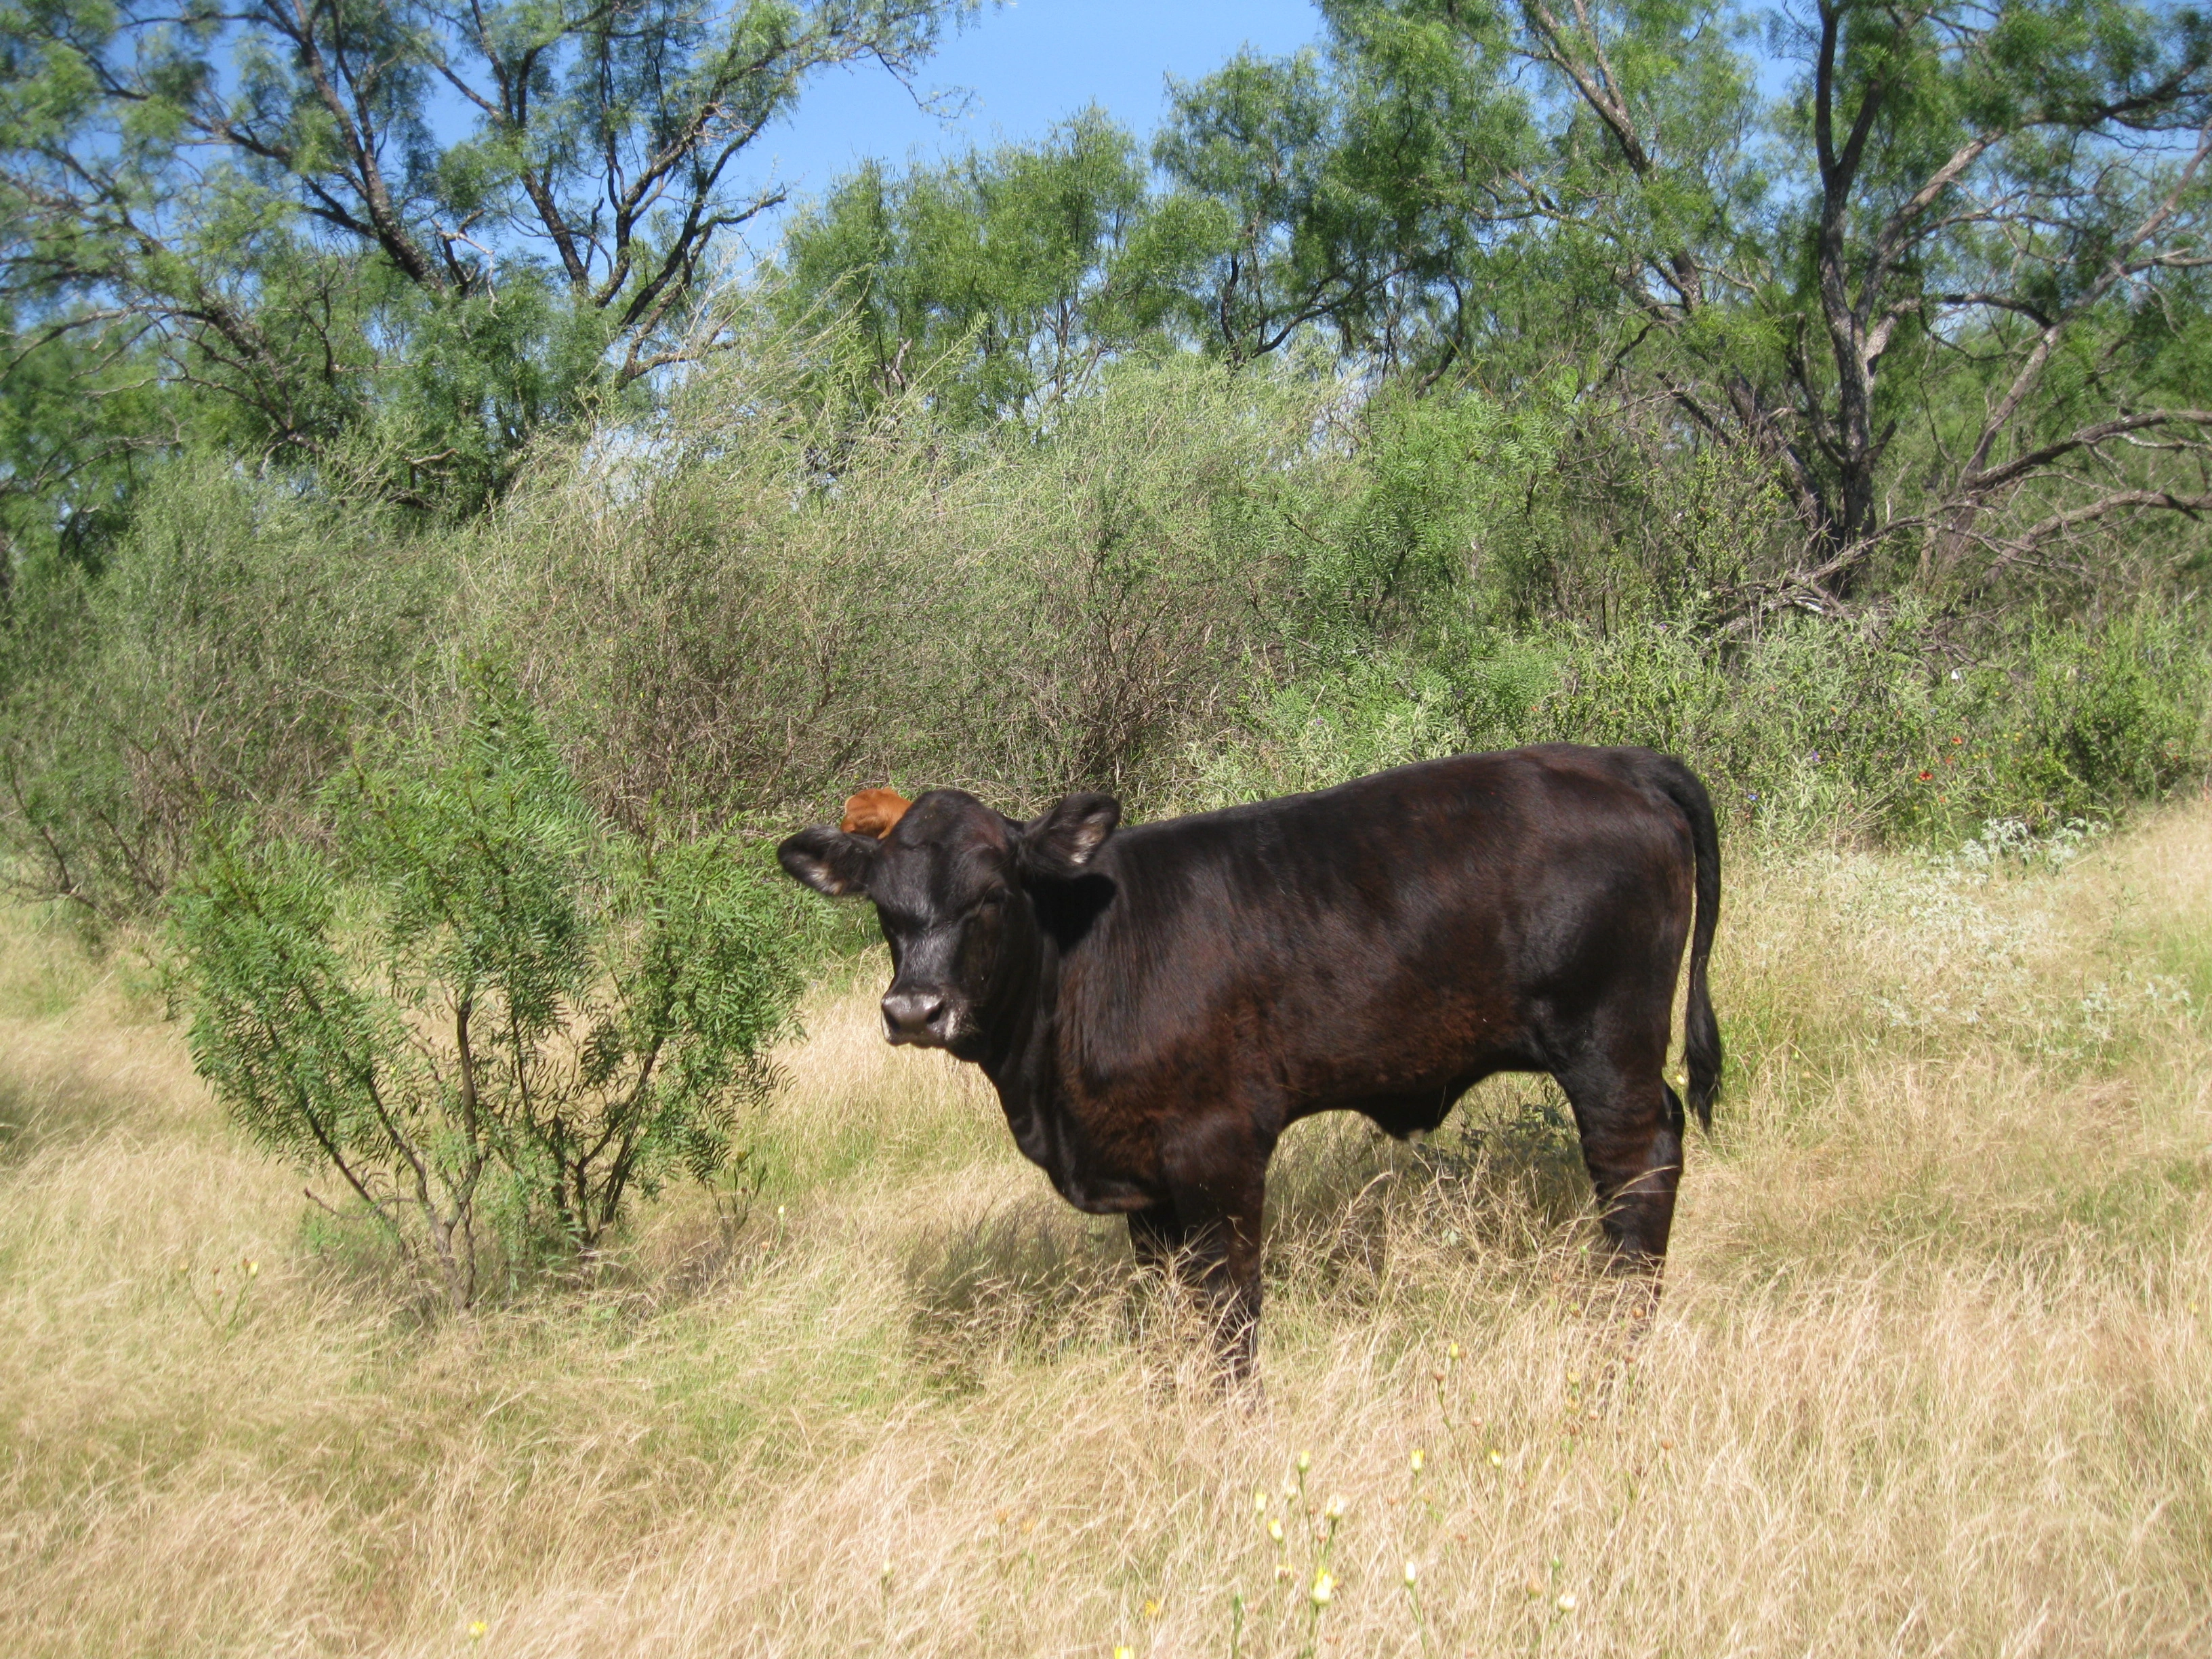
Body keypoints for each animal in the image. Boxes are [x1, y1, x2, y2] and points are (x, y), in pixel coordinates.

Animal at [778, 744, 1721, 1382]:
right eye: (885, 908)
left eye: (992, 893)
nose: (914, 1009)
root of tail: (1611, 758)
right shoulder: (1143, 1183)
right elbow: (1169, 1316)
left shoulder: (1219, 1147)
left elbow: (1230, 1315)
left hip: (1606, 1045)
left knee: (1638, 1169)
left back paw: (1618, 1345)